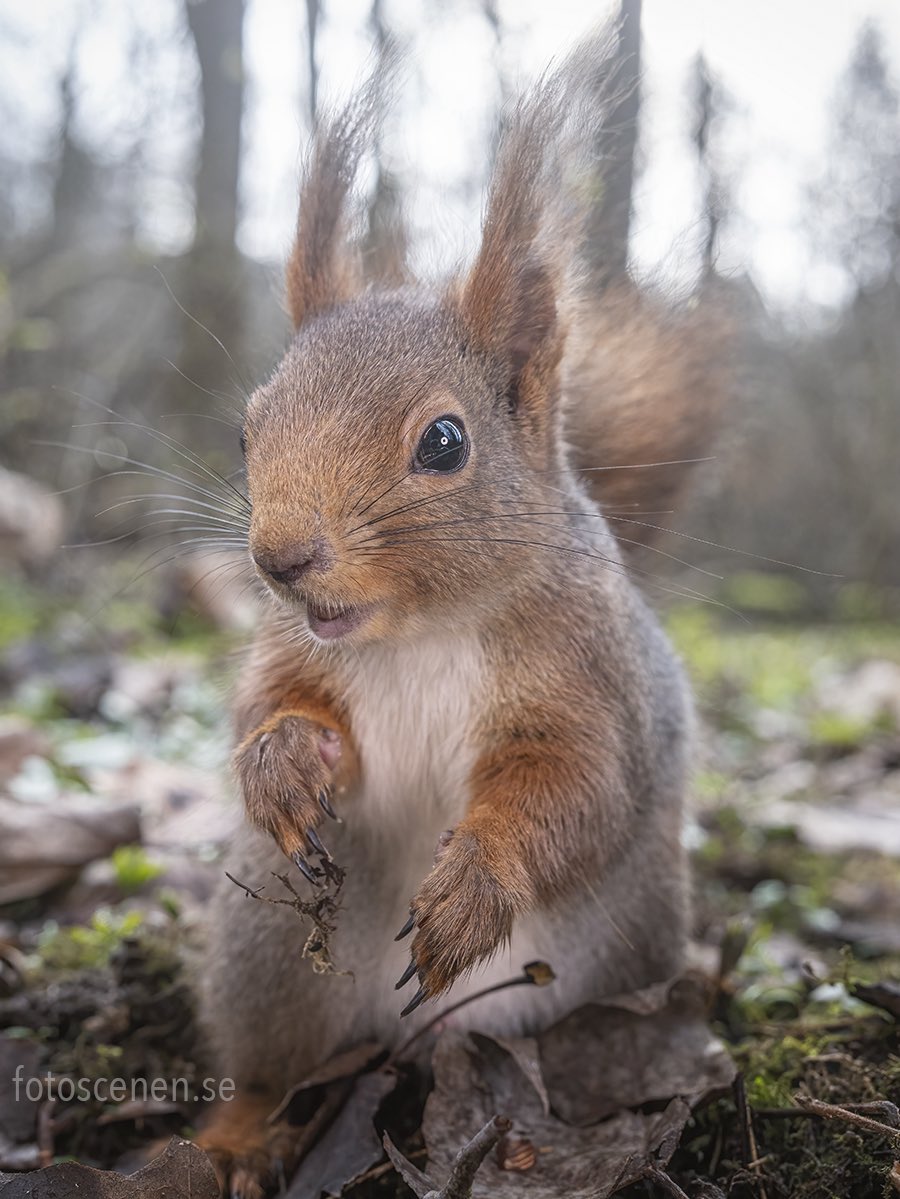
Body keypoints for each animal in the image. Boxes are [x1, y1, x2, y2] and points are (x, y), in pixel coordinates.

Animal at [194, 33, 726, 1198]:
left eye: (443, 442)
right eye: (247, 430)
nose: (279, 558)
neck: (419, 631)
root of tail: (415, 1043)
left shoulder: (592, 684)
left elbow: (575, 788)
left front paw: (474, 885)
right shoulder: (291, 648)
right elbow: (267, 706)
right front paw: (283, 762)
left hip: (599, 981)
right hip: (268, 957)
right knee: (269, 1066)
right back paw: (235, 1139)